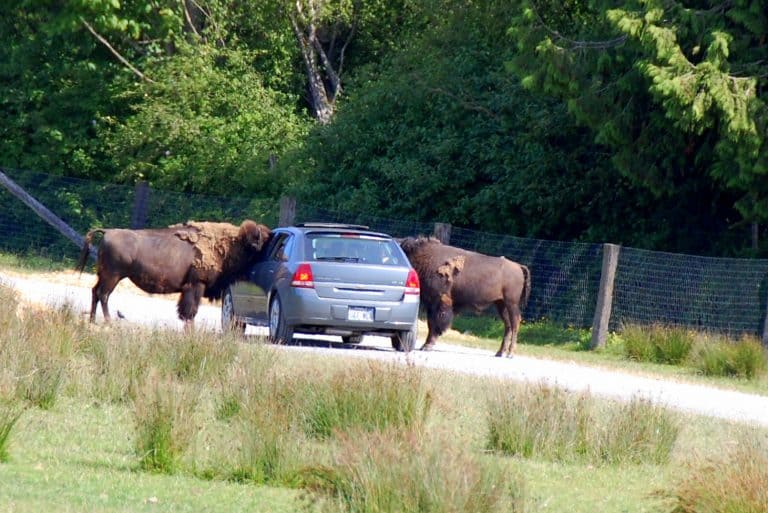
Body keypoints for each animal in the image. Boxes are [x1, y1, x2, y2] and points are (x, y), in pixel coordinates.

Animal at [76, 219, 272, 324]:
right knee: (103, 294)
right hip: (113, 276)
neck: (229, 244)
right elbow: (190, 310)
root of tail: (107, 232)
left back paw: (93, 320)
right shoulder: (196, 285)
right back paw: (108, 321)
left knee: (95, 291)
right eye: (261, 244)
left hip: (104, 275)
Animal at [400, 236, 532, 356]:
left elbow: (435, 323)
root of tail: (519, 267)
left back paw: (510, 353)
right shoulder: (431, 304)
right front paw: (426, 345)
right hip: (501, 304)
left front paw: (427, 346)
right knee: (508, 325)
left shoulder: (439, 301)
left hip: (511, 303)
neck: (425, 257)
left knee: (515, 323)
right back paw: (500, 353)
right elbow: (431, 323)